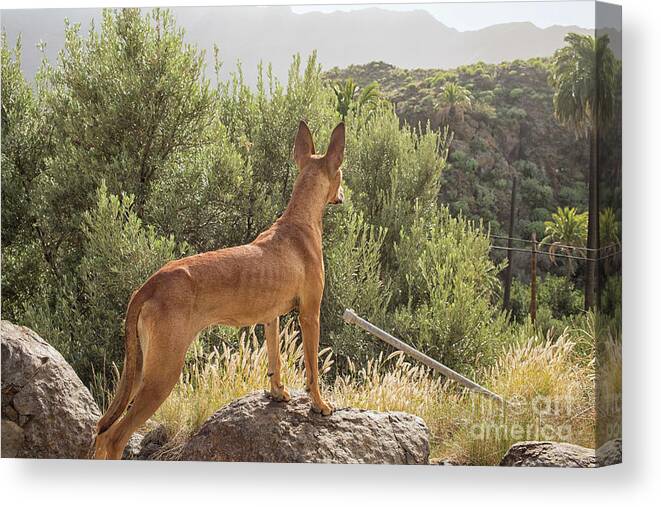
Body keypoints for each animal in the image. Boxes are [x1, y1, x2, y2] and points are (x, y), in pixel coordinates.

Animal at [95, 121, 348, 458]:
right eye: (342, 173)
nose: (342, 195)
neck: (299, 220)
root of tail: (149, 284)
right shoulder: (310, 313)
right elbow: (313, 368)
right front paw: (320, 405)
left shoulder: (271, 318)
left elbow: (275, 360)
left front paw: (277, 392)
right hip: (162, 373)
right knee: (114, 437)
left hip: (137, 368)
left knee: (101, 428)